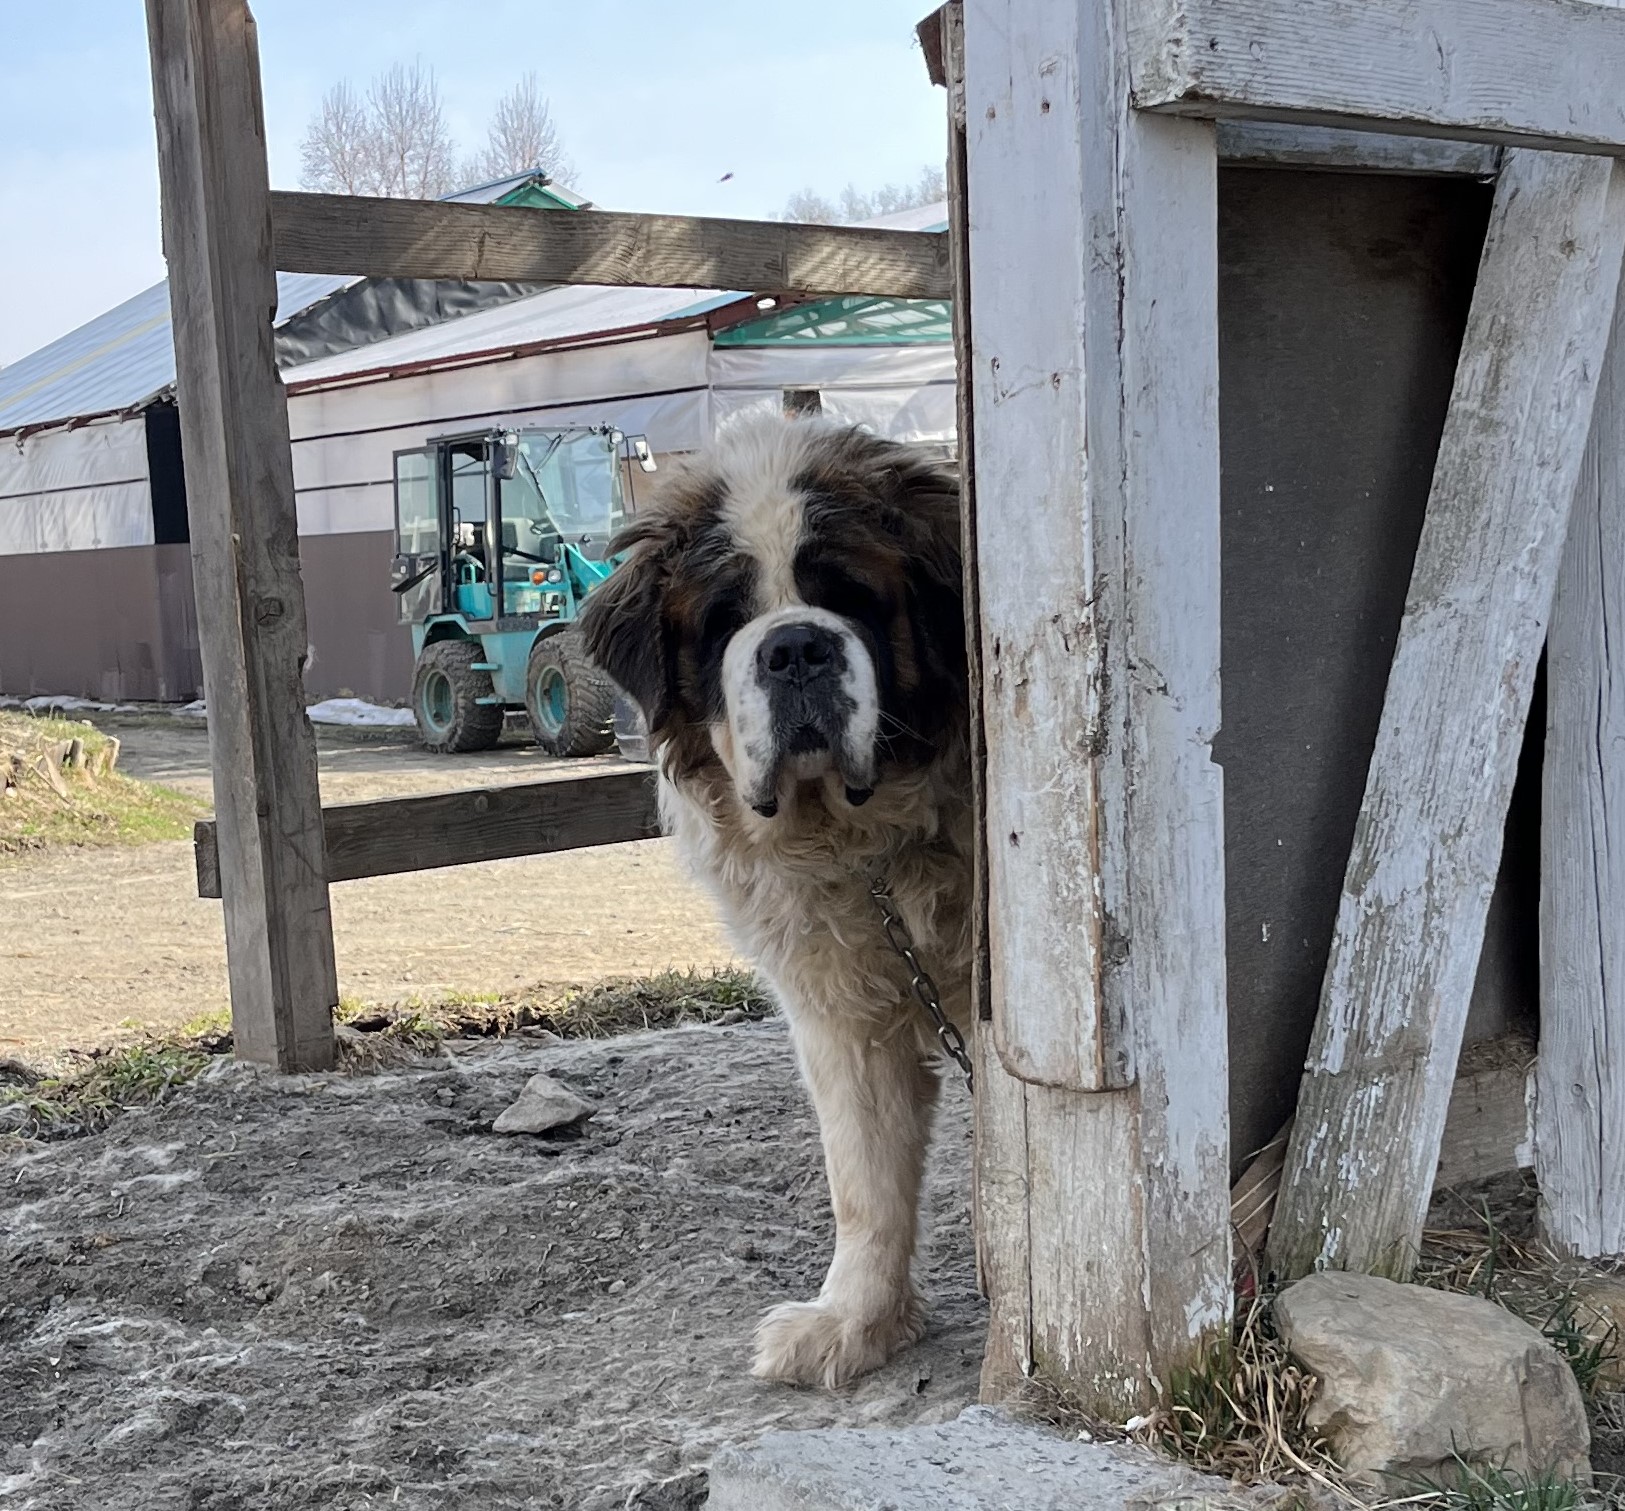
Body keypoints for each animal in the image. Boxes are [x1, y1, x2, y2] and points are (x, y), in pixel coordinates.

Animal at [579, 414, 974, 1388]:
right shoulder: (841, 1021)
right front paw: (855, 1323)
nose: (795, 646)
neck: (867, 847)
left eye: (853, 598)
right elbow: (863, 1182)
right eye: (725, 618)